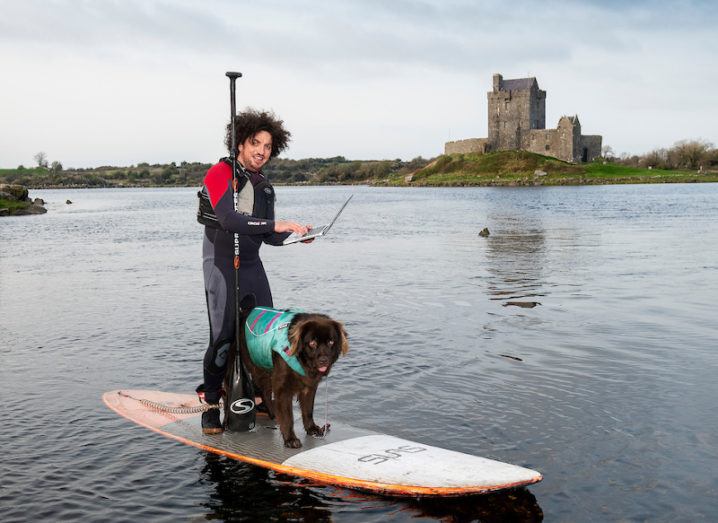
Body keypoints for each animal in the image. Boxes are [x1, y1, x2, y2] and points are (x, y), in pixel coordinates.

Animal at [232, 304, 350, 448]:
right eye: (312, 343)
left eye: (331, 342)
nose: (324, 360)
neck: (301, 360)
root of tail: (244, 313)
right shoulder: (283, 387)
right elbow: (288, 416)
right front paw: (290, 439)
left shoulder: (309, 386)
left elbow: (308, 410)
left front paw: (311, 428)